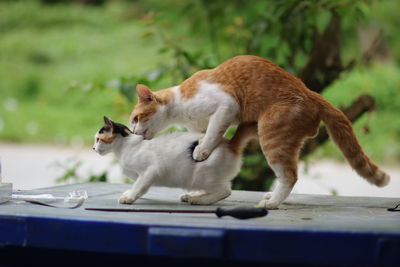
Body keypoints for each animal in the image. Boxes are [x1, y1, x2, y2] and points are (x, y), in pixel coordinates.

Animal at [93, 116, 256, 205]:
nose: (93, 148)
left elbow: (139, 186)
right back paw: (192, 196)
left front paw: (130, 197)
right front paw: (129, 193)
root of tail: (229, 144)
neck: (125, 147)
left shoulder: (150, 170)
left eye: (98, 139)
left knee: (225, 191)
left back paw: (200, 201)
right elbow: (139, 185)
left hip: (203, 175)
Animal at [130, 55, 390, 209]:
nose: (134, 133)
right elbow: (213, 144)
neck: (180, 107)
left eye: (135, 118)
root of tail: (311, 93)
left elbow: (211, 138)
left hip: (271, 136)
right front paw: (200, 188)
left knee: (290, 176)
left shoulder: (226, 106)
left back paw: (271, 203)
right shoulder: (206, 126)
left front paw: (201, 152)